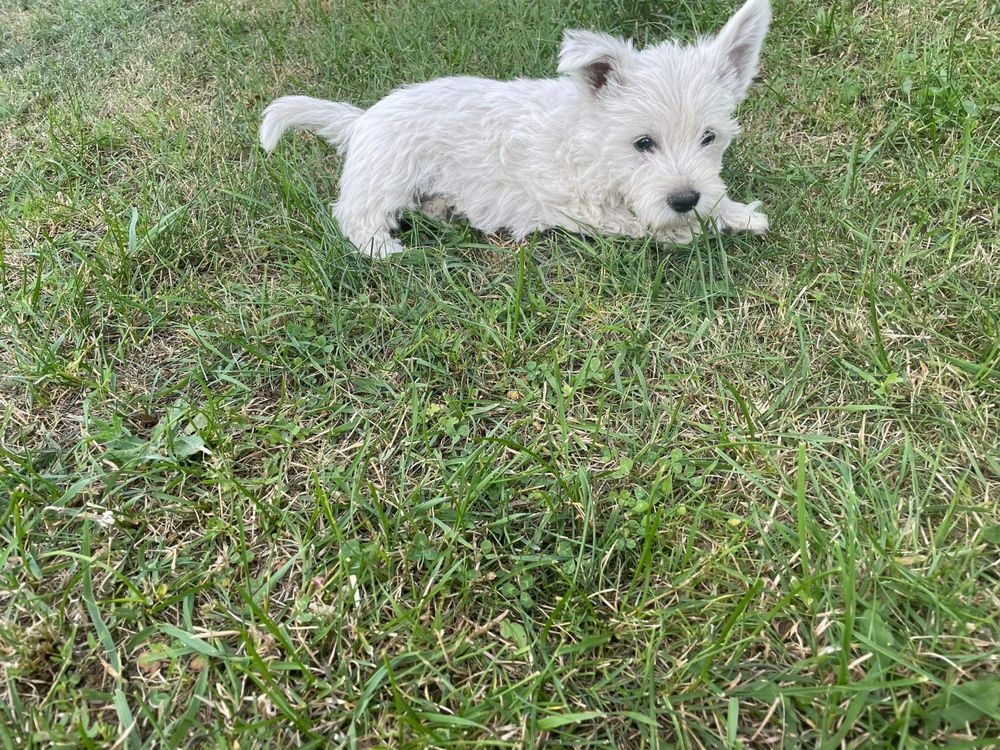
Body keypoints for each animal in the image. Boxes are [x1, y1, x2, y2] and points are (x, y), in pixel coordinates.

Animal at [260, 0, 772, 258]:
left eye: (709, 138)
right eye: (642, 142)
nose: (684, 199)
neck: (593, 140)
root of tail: (362, 118)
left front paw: (737, 214)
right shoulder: (576, 202)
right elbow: (632, 221)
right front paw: (684, 230)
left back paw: (444, 209)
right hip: (387, 176)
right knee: (354, 214)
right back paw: (384, 248)